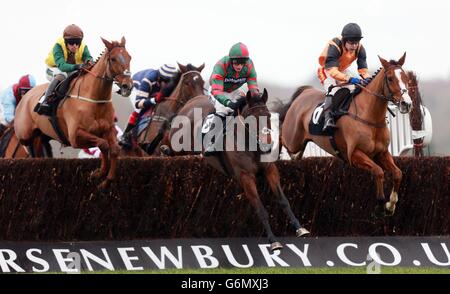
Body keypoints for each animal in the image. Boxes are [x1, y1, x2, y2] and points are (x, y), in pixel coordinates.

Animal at [14, 37, 133, 188]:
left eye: (129, 57)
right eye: (113, 59)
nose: (128, 86)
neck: (94, 100)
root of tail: (24, 97)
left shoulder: (108, 129)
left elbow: (114, 149)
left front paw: (107, 179)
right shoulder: (75, 136)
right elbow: (103, 144)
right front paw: (99, 173)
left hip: (42, 136)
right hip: (26, 135)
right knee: (30, 149)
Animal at [169, 89, 310, 250]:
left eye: (268, 115)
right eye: (252, 118)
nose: (267, 145)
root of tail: (192, 101)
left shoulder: (270, 169)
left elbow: (283, 200)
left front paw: (300, 229)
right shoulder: (245, 176)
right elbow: (260, 210)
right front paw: (273, 241)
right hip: (179, 146)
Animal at [282, 54, 412, 217]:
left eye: (406, 77)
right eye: (389, 78)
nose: (406, 104)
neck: (369, 116)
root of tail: (304, 93)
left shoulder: (381, 153)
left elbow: (398, 173)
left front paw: (390, 205)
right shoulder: (354, 155)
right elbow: (378, 171)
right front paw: (380, 204)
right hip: (292, 139)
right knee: (281, 139)